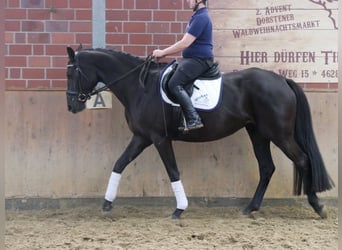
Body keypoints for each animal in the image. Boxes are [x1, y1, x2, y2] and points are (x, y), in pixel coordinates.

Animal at [65, 46, 332, 219]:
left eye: (71, 73)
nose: (72, 106)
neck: (140, 87)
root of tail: (282, 80)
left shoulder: (159, 139)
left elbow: (173, 171)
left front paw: (179, 209)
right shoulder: (141, 137)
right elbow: (119, 164)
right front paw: (106, 204)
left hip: (280, 134)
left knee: (302, 160)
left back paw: (317, 206)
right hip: (258, 133)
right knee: (267, 167)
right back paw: (251, 208)